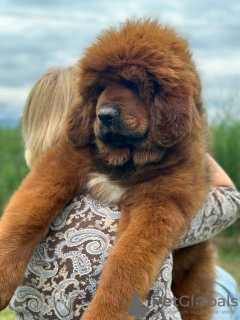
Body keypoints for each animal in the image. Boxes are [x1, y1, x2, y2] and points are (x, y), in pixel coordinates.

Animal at [0, 20, 215, 320]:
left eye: (133, 85)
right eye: (100, 88)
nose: (104, 115)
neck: (126, 162)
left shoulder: (161, 200)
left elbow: (126, 263)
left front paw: (104, 312)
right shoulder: (62, 162)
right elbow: (25, 218)